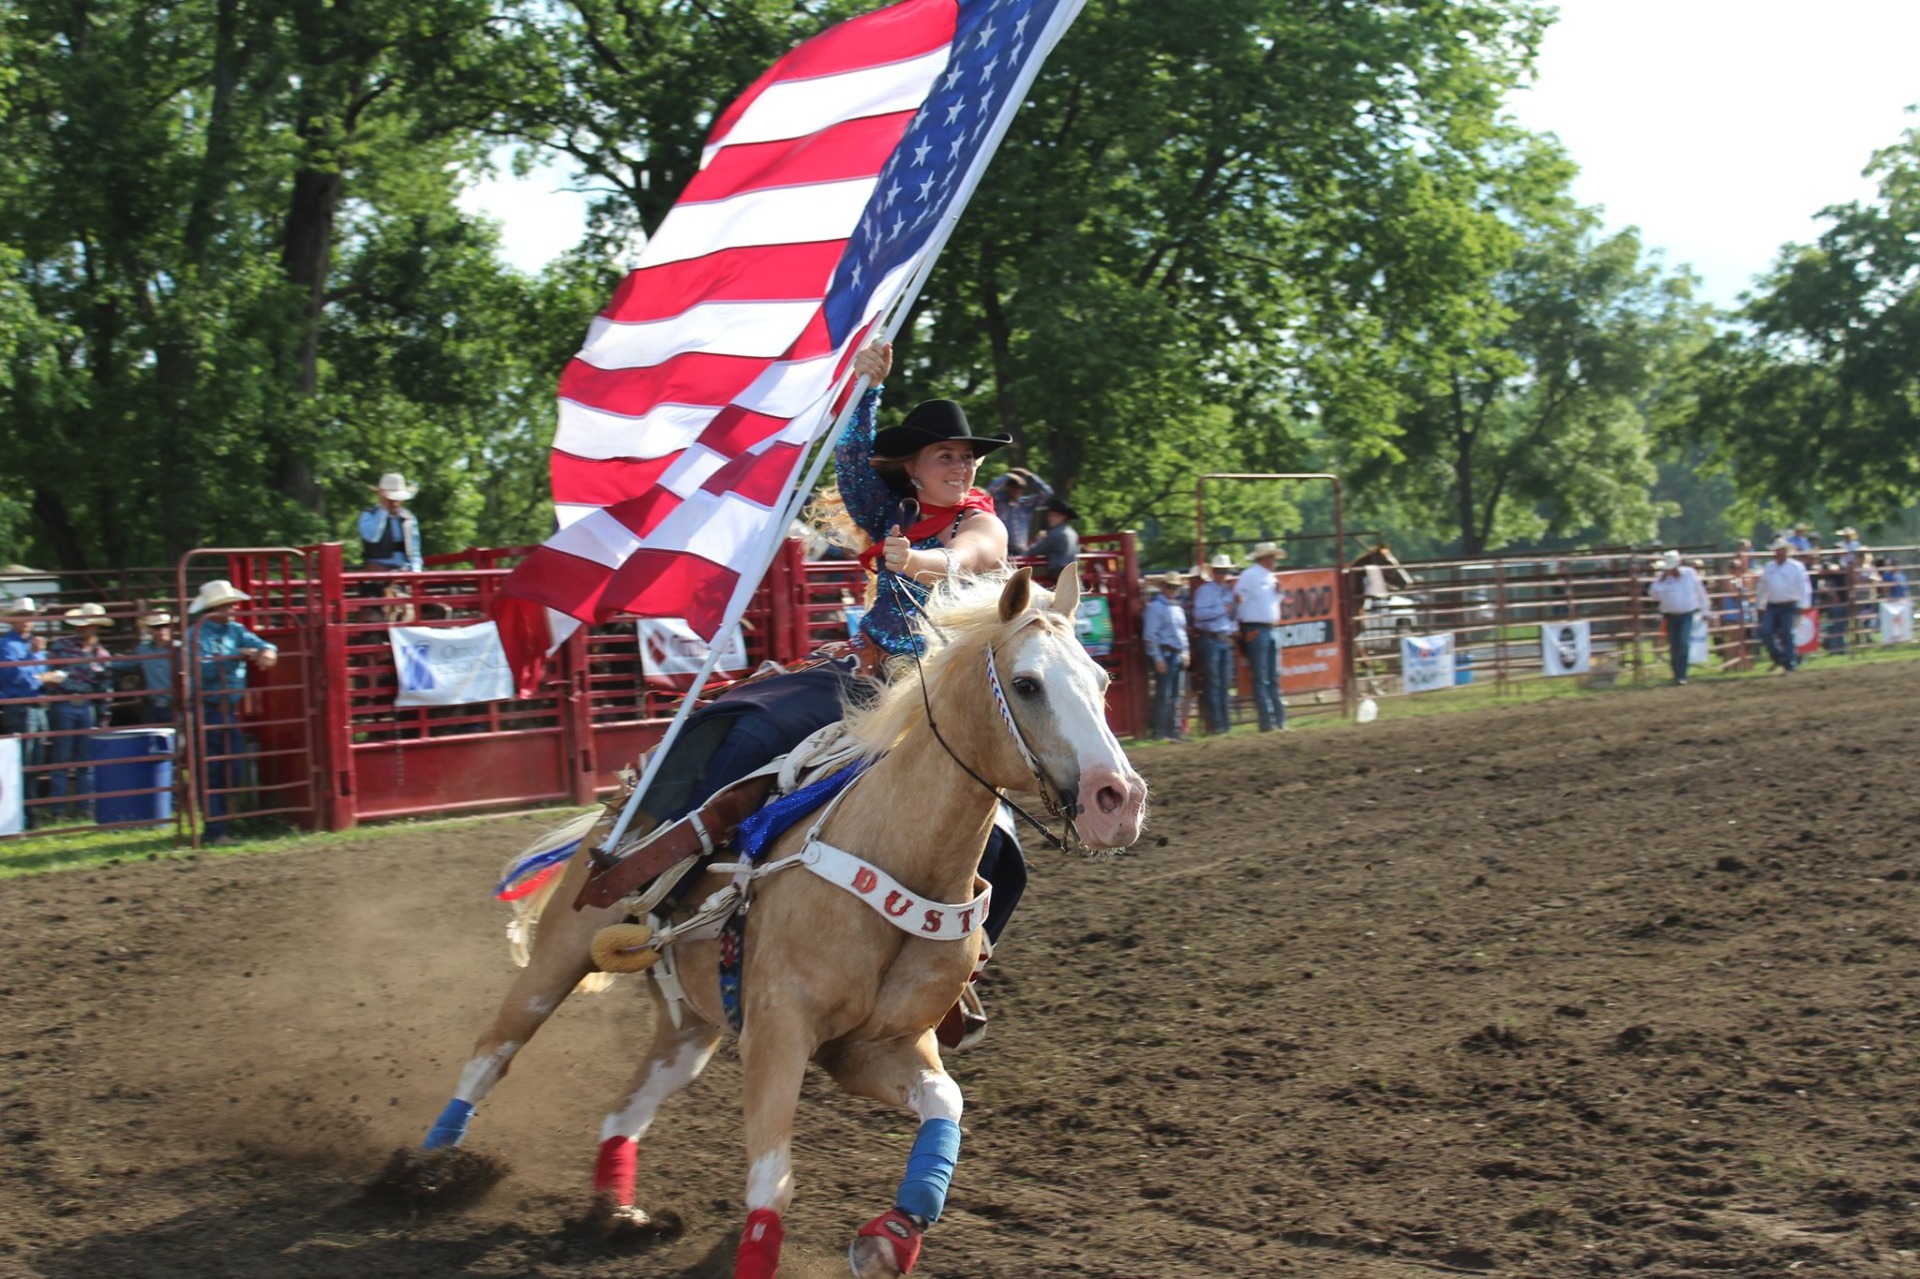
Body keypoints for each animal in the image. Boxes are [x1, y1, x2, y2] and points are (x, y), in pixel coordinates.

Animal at [416, 568, 1136, 1275]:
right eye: (1027, 683)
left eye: (1102, 681)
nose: (1118, 799)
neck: (898, 854)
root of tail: (618, 803)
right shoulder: (777, 1032)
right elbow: (772, 1180)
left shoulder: (875, 1048)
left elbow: (945, 1105)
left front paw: (892, 1235)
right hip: (563, 952)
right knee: (494, 1051)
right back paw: (429, 1171)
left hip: (691, 1026)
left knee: (625, 1108)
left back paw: (614, 1216)